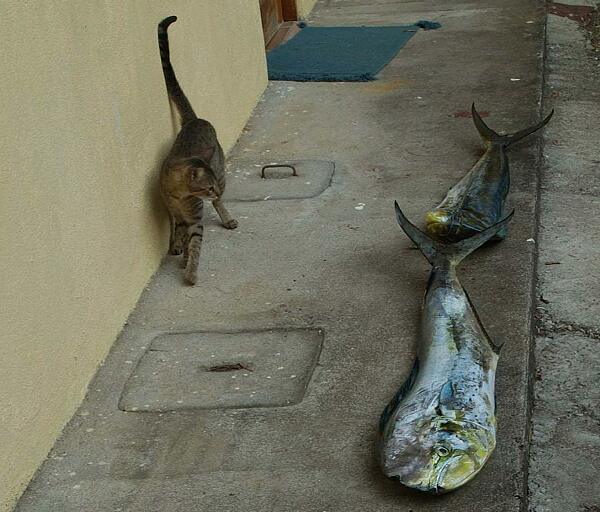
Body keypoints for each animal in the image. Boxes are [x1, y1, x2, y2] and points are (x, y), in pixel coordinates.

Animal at [157, 16, 237, 286]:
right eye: (206, 187)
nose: (214, 192)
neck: (179, 195)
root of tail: (194, 119)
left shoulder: (195, 218)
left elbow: (195, 244)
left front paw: (190, 272)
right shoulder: (174, 212)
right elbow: (180, 232)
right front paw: (178, 250)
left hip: (222, 173)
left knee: (221, 204)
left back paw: (227, 218)